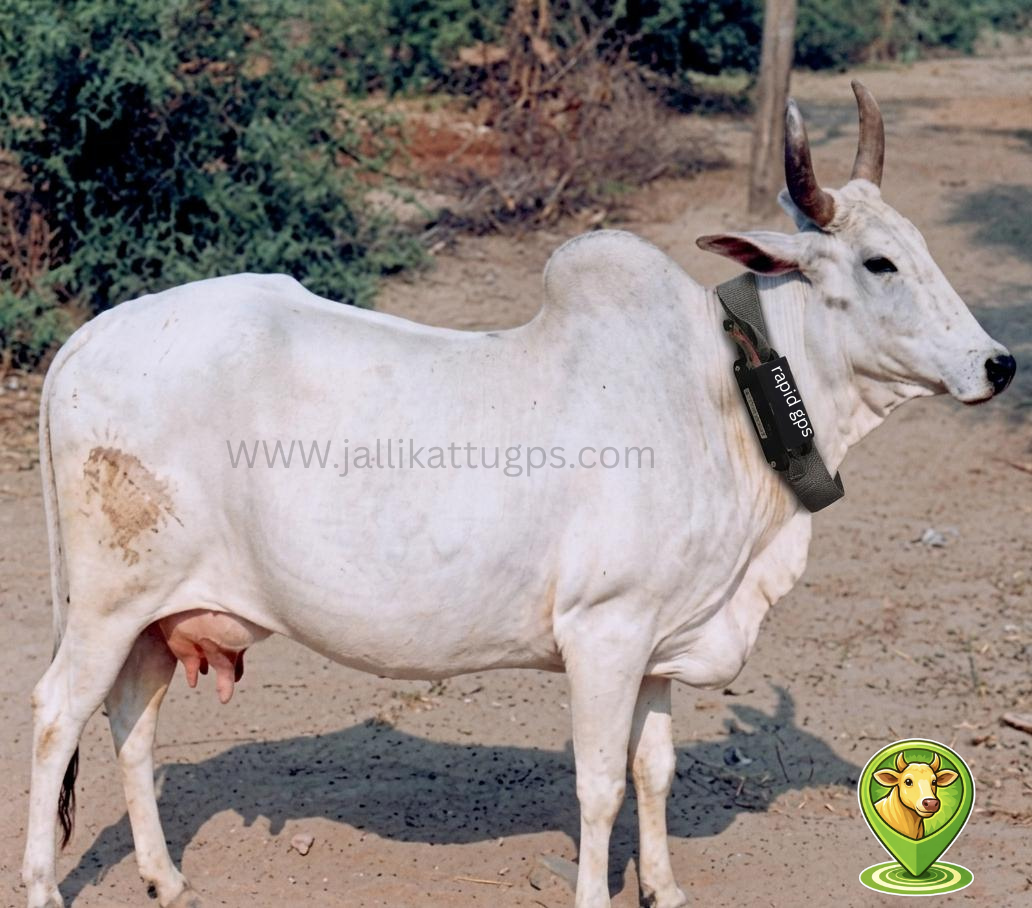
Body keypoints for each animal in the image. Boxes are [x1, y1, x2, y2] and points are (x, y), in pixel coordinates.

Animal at [23, 82, 1014, 908]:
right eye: (880, 264)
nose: (998, 365)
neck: (725, 394)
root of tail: (84, 340)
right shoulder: (605, 632)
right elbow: (599, 785)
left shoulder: (662, 642)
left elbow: (655, 772)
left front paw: (665, 890)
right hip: (108, 605)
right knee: (56, 716)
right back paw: (43, 886)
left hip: (159, 617)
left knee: (131, 723)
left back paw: (163, 877)